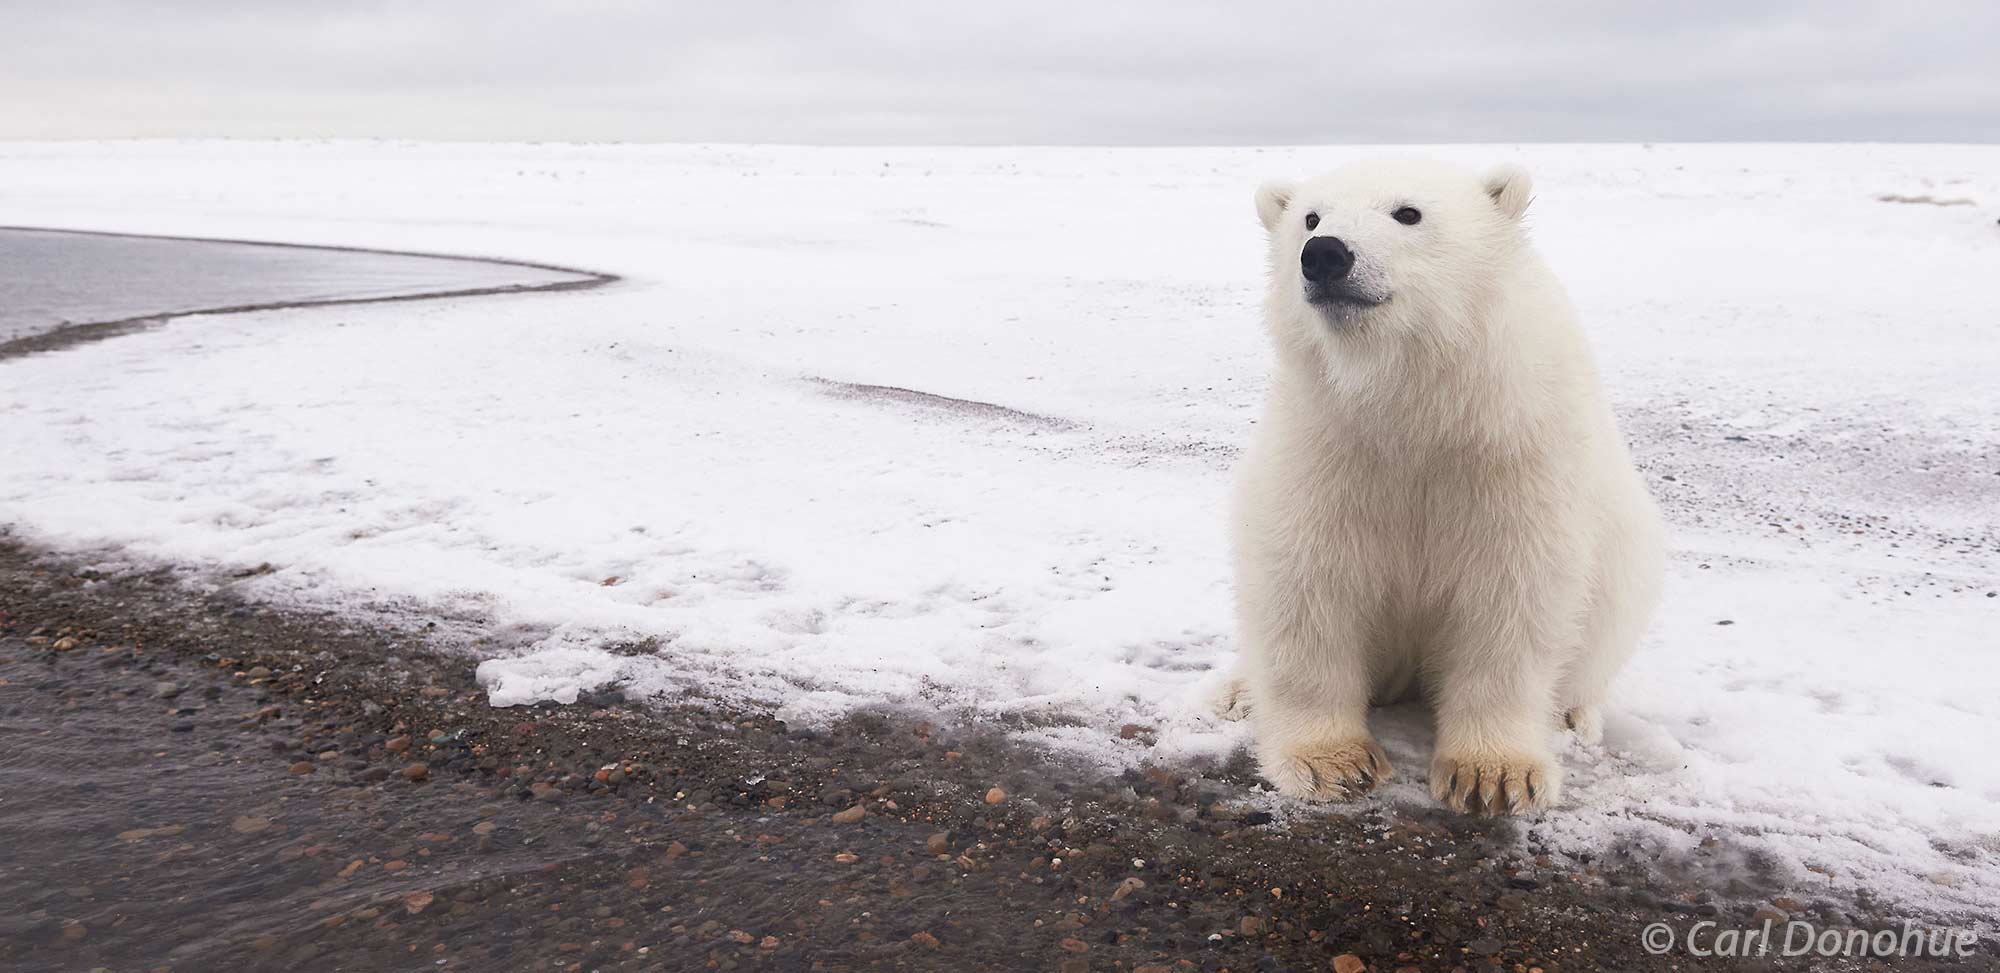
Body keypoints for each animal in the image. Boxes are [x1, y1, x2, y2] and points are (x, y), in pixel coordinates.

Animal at [1212, 158, 1664, 815]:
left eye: (1408, 213)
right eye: (1310, 217)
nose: (1324, 255)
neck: (1418, 403)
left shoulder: (1514, 452)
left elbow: (1511, 597)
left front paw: (1493, 775)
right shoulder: (1325, 441)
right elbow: (1307, 583)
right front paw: (1332, 763)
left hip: (1627, 568)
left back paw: (1573, 715)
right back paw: (1236, 690)